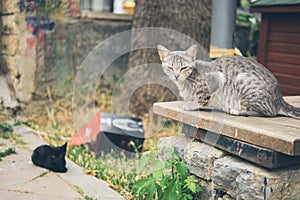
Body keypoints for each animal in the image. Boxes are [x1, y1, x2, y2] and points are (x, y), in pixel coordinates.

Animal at [157, 44, 300, 116]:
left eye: (184, 68)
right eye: (170, 67)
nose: (176, 75)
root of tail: (280, 99)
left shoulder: (215, 81)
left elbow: (201, 100)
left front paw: (191, 104)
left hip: (242, 79)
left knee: (266, 112)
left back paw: (236, 110)